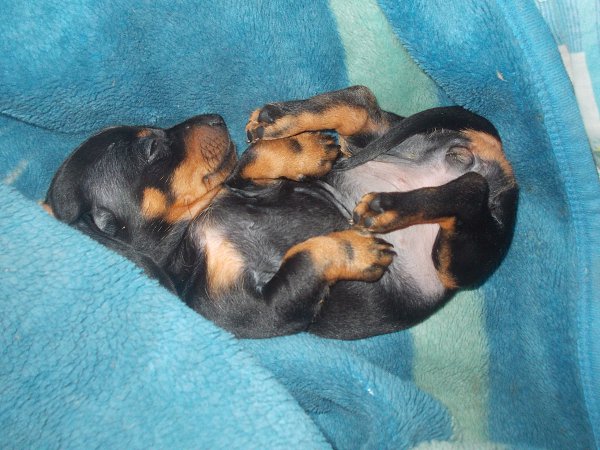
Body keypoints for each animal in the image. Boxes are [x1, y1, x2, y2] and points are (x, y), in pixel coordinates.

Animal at [44, 86, 517, 339]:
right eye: (151, 149)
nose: (216, 118)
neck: (192, 230)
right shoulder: (263, 310)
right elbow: (303, 257)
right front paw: (357, 251)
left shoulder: (255, 188)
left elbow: (248, 161)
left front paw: (304, 151)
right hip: (461, 260)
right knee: (470, 189)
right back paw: (385, 208)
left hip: (390, 145)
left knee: (362, 103)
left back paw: (281, 120)